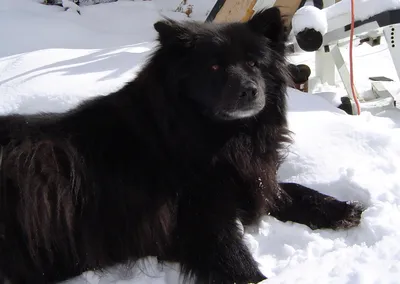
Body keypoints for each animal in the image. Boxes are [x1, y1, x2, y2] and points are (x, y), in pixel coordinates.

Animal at [0, 6, 364, 284]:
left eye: (254, 63)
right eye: (214, 66)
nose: (249, 90)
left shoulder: (250, 182)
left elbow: (292, 190)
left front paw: (341, 209)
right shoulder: (200, 220)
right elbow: (239, 263)